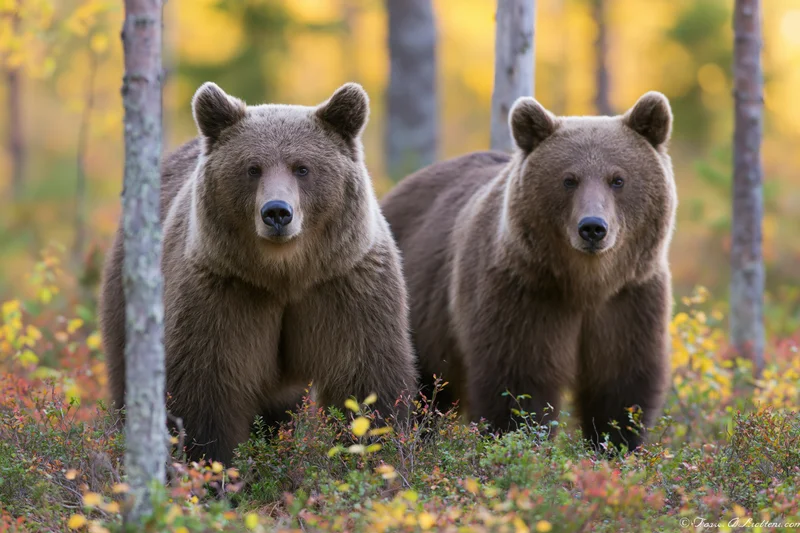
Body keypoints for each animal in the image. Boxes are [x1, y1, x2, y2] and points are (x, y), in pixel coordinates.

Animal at [99, 82, 418, 464]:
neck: (285, 274)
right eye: (253, 168)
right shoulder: (224, 291)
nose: (277, 212)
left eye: (302, 167)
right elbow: (205, 391)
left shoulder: (345, 284)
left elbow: (365, 379)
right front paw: (211, 465)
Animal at [380, 92, 676, 451]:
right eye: (569, 179)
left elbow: (621, 387)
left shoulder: (629, 299)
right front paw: (522, 442)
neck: (585, 285)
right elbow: (520, 381)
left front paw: (616, 447)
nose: (593, 227)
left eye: (618, 179)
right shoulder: (523, 293)